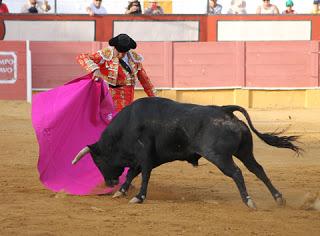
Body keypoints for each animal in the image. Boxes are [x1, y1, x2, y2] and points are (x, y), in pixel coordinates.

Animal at [72, 97, 300, 209]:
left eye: (98, 161)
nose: (108, 183)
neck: (127, 125)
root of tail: (224, 110)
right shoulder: (144, 158)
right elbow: (131, 174)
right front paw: (120, 192)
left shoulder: (144, 155)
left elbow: (143, 175)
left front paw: (138, 197)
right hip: (245, 152)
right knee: (258, 170)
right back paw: (279, 199)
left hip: (219, 156)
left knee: (236, 173)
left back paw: (249, 201)